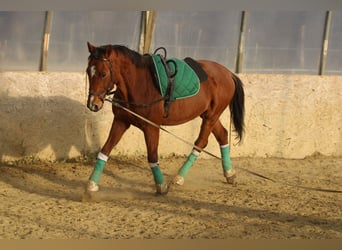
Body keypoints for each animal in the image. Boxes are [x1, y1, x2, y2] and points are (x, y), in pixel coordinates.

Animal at [86, 42, 246, 195]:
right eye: (88, 71)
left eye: (103, 74)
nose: (93, 104)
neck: (139, 84)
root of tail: (228, 73)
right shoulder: (121, 122)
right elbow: (105, 150)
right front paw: (92, 184)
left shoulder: (151, 127)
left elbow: (152, 156)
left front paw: (161, 186)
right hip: (209, 115)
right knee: (222, 135)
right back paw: (229, 173)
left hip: (211, 116)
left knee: (200, 142)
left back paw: (179, 177)